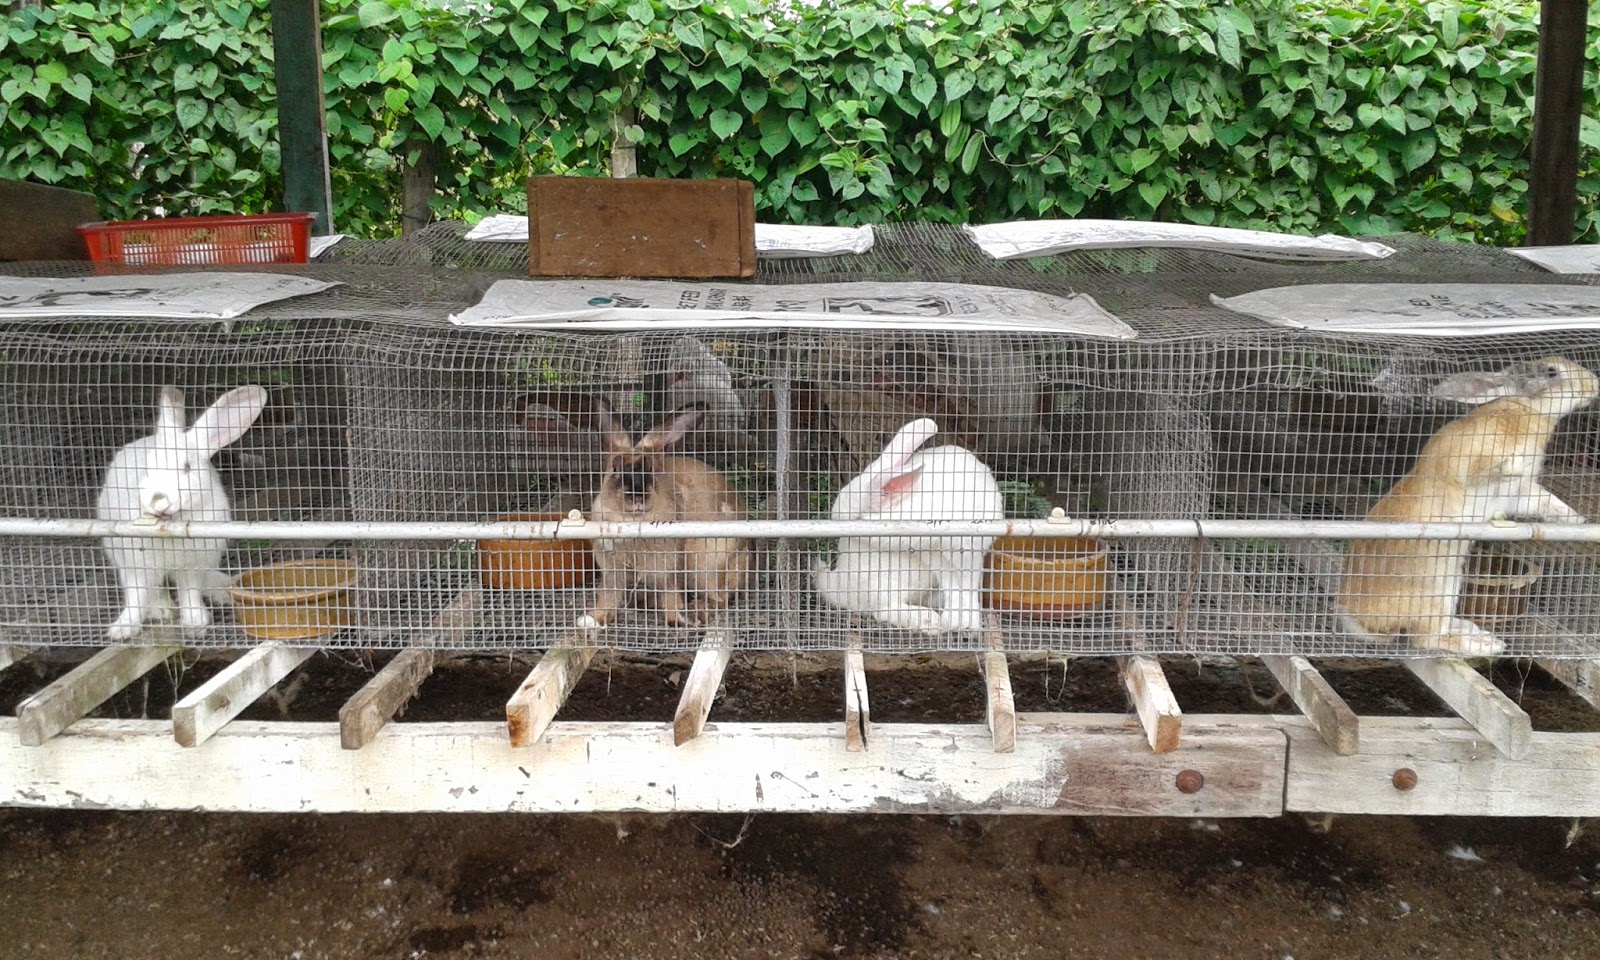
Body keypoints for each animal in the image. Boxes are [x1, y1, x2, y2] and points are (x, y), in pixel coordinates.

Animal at [97, 384, 269, 640]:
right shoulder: (137, 564)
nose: (159, 499)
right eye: (146, 467)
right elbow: (136, 595)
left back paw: (223, 589)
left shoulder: (193, 565)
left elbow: (190, 591)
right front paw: (122, 629)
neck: (169, 526)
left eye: (187, 467)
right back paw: (160, 609)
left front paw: (196, 624)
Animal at [576, 401, 751, 631]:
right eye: (615, 469)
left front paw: (675, 620)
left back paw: (695, 612)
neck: (632, 522)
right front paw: (594, 618)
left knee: (720, 599)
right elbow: (608, 595)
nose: (637, 496)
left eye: (651, 469)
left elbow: (671, 593)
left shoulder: (669, 567)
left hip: (705, 563)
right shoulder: (612, 569)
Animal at [813, 418, 1004, 635]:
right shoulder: (937, 554)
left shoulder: (960, 549)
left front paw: (965, 623)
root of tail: (842, 586)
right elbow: (955, 584)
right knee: (884, 609)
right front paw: (959, 622)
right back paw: (931, 621)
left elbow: (964, 584)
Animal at [1337, 356, 1599, 656]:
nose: (1594, 384)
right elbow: (1495, 467)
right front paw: (1515, 462)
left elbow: (1545, 501)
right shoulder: (1472, 461)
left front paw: (1575, 519)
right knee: (1427, 638)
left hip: (1451, 582)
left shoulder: (1518, 493)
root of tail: (1358, 617)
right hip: (1434, 591)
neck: (1526, 408)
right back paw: (1487, 644)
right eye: (1551, 371)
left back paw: (1475, 631)